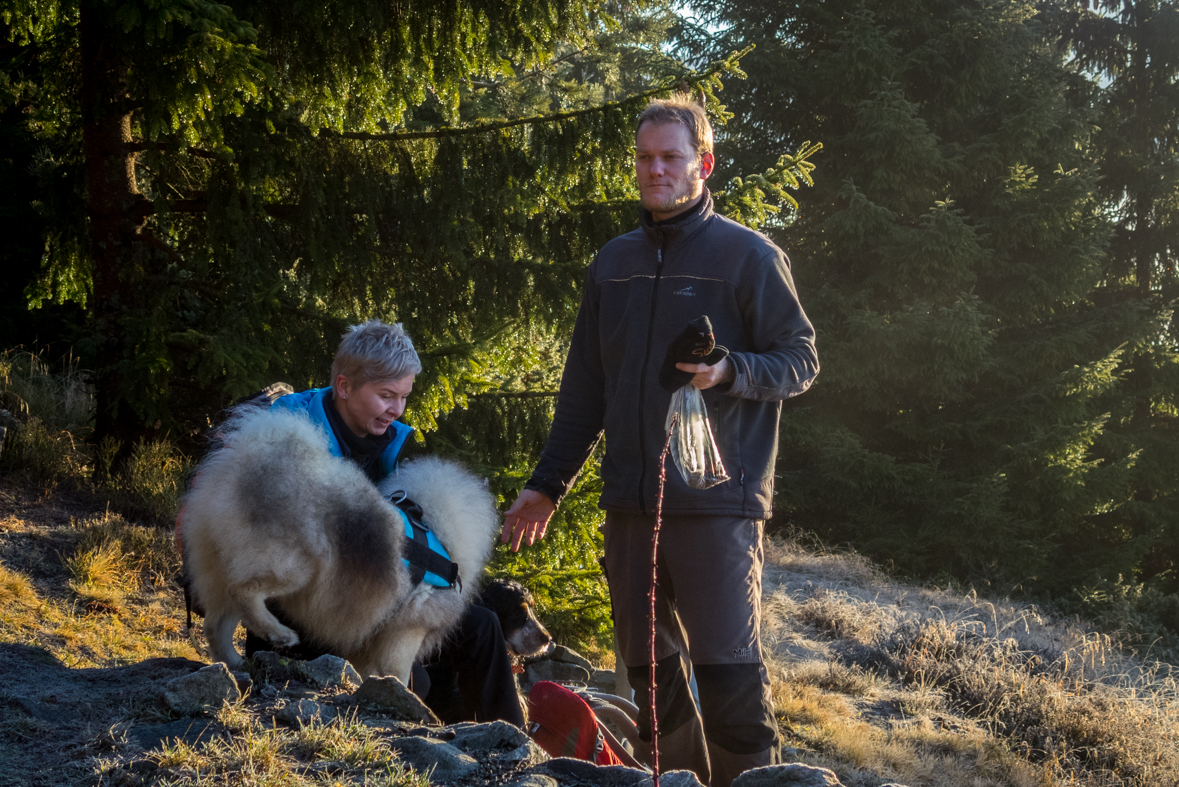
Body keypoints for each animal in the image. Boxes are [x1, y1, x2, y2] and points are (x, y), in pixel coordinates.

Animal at [178, 405, 497, 683]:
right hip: (293, 567)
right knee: (243, 591)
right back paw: (279, 634)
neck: (433, 526)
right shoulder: (407, 630)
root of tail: (248, 461)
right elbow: (398, 674)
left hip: (218, 564)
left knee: (215, 625)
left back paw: (234, 662)